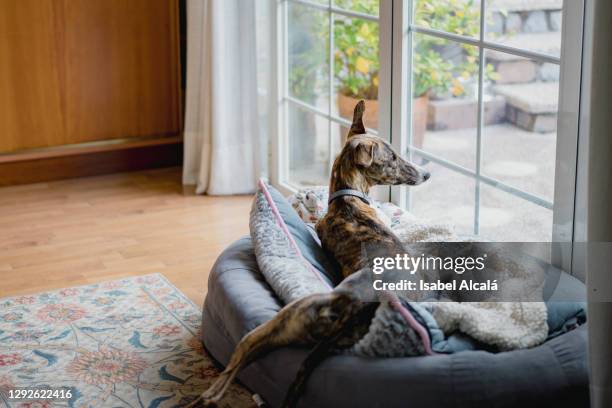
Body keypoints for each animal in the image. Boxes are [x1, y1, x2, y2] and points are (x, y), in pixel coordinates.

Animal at [191, 100, 430, 406]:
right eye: (392, 157)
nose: (427, 174)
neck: (348, 197)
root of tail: (353, 312)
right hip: (286, 321)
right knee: (235, 364)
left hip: (284, 324)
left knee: (233, 367)